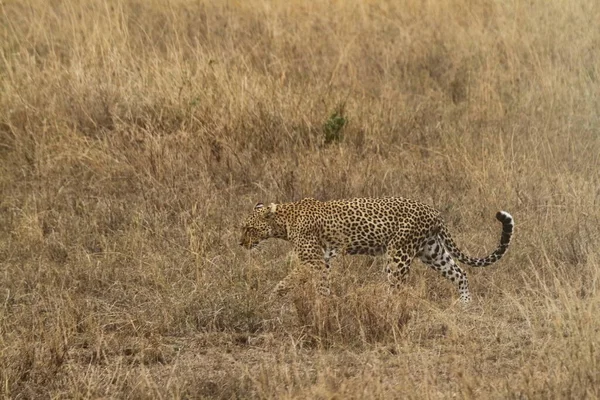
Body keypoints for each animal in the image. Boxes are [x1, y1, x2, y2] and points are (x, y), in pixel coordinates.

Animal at [237, 197, 512, 304]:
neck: (284, 220)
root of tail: (434, 212)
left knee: (396, 288)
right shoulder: (323, 261)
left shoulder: (312, 260)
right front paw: (325, 303)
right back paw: (465, 305)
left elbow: (288, 279)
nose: (240, 243)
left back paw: (385, 306)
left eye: (249, 228)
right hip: (431, 251)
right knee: (460, 273)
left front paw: (272, 296)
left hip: (398, 253)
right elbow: (322, 283)